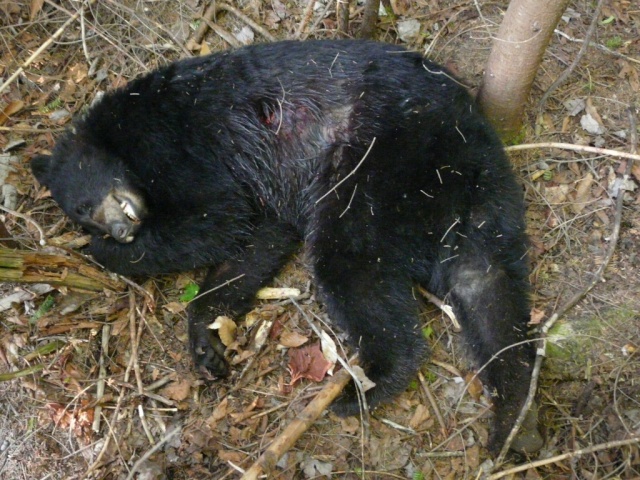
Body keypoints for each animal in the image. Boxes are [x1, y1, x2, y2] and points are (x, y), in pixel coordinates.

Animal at [32, 39, 536, 452]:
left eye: (84, 205)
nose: (119, 230)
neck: (120, 141)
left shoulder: (176, 146)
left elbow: (218, 217)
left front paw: (107, 253)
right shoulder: (264, 191)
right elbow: (257, 241)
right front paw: (206, 343)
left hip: (381, 157)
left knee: (350, 261)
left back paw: (371, 383)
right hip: (479, 186)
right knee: (485, 280)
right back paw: (513, 416)